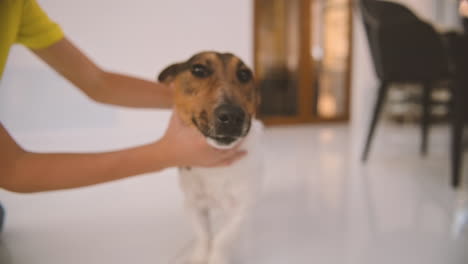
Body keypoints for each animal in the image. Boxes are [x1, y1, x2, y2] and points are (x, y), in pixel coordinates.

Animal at [158, 51, 264, 264]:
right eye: (198, 70)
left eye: (244, 75)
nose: (232, 116)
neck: (216, 167)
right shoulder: (193, 204)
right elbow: (203, 236)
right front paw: (200, 257)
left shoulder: (241, 207)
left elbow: (223, 238)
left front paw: (217, 258)